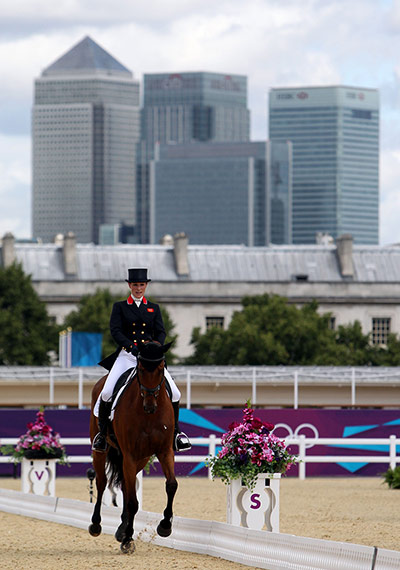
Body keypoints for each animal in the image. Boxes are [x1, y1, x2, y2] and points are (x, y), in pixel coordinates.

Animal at [88, 340, 177, 552]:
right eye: (141, 369)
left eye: (161, 368)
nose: (150, 406)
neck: (149, 417)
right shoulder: (129, 455)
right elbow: (132, 502)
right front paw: (128, 539)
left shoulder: (164, 451)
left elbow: (171, 485)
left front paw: (165, 527)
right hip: (101, 451)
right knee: (102, 483)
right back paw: (96, 525)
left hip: (141, 459)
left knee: (125, 486)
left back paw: (121, 528)